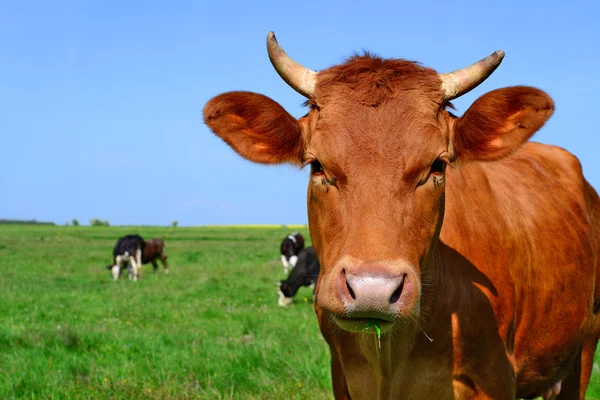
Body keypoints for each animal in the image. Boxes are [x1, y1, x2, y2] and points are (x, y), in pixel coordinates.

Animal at [205, 31, 600, 400]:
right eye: (317, 166)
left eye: (437, 165)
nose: (372, 290)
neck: (390, 358)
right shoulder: (342, 375)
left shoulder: (496, 377)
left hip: (583, 348)